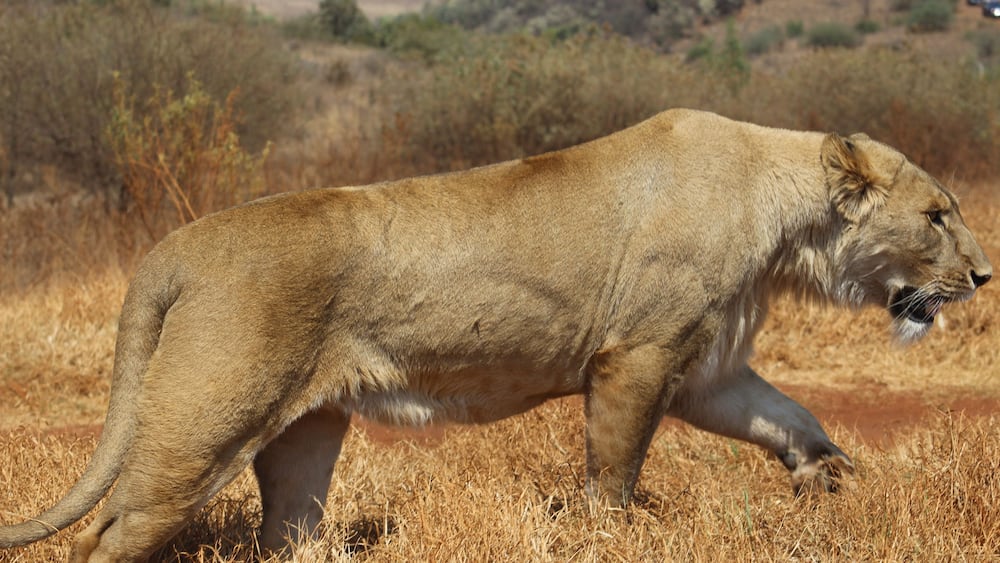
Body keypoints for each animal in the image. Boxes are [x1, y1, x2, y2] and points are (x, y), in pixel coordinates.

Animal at [0, 109, 992, 561]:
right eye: (938, 216)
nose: (985, 277)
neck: (784, 221)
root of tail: (173, 246)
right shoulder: (637, 353)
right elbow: (614, 468)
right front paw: (607, 536)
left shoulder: (708, 366)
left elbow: (789, 415)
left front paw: (832, 477)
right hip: (204, 424)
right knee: (111, 530)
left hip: (304, 431)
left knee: (289, 526)